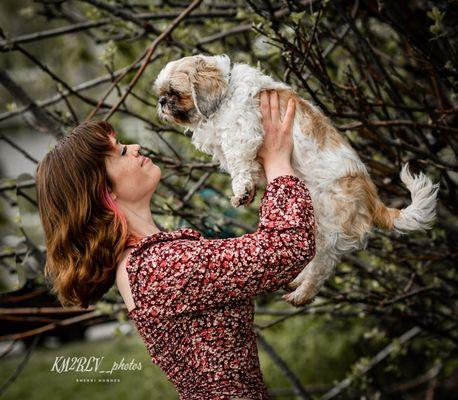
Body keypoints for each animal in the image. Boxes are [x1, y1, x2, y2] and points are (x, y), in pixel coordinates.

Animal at [152, 54, 438, 306]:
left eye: (175, 92)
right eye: (162, 93)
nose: (163, 102)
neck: (226, 93)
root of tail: (372, 201)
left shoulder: (242, 135)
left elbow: (239, 164)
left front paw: (241, 189)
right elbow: (249, 169)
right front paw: (248, 190)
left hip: (328, 226)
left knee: (322, 264)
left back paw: (303, 293)